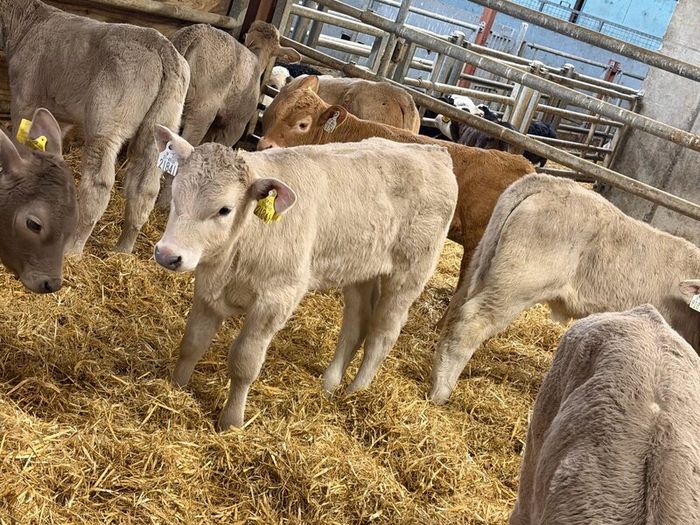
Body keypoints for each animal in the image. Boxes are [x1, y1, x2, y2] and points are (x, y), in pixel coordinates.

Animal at [0, 0, 190, 254]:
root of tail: (163, 47)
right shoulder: (59, 115)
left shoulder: (24, 100)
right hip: (162, 124)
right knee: (145, 187)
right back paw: (123, 248)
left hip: (107, 121)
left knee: (99, 181)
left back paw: (73, 247)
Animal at [152, 129, 457, 430]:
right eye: (176, 194)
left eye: (224, 209)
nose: (167, 254)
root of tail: (435, 152)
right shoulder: (208, 289)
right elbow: (192, 343)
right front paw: (175, 388)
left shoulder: (277, 299)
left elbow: (244, 362)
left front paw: (232, 423)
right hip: (360, 269)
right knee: (356, 323)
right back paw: (329, 384)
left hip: (409, 273)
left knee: (382, 333)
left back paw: (356, 391)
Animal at [430, 173, 700, 405]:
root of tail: (551, 182)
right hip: (514, 287)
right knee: (471, 323)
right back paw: (441, 391)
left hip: (481, 263)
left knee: (457, 304)